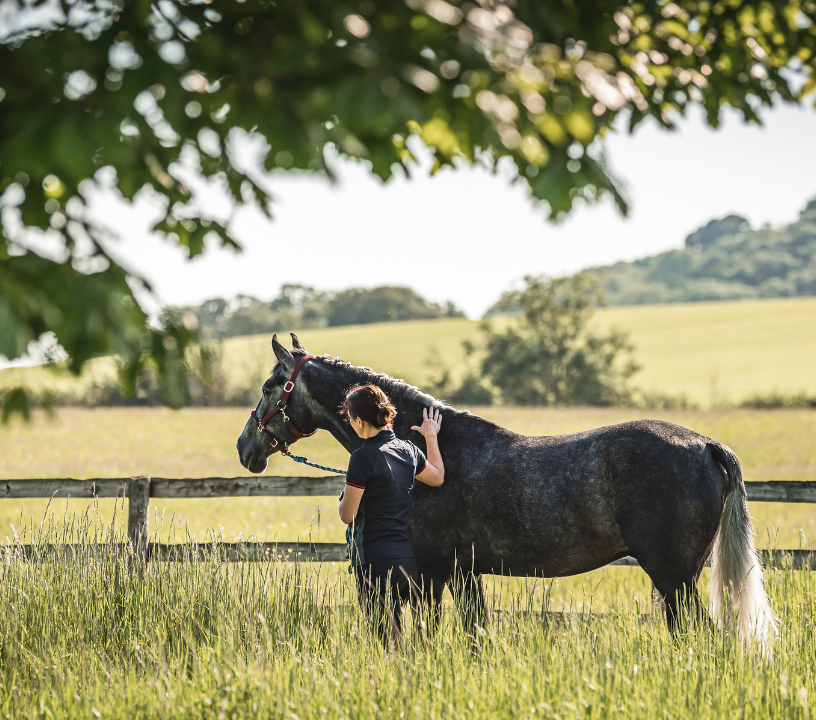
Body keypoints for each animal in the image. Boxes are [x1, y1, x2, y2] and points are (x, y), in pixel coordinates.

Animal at [236, 334, 778, 649]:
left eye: (268, 386)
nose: (245, 447)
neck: (424, 448)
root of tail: (705, 444)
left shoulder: (433, 572)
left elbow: (431, 633)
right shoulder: (465, 572)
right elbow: (475, 633)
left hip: (673, 578)